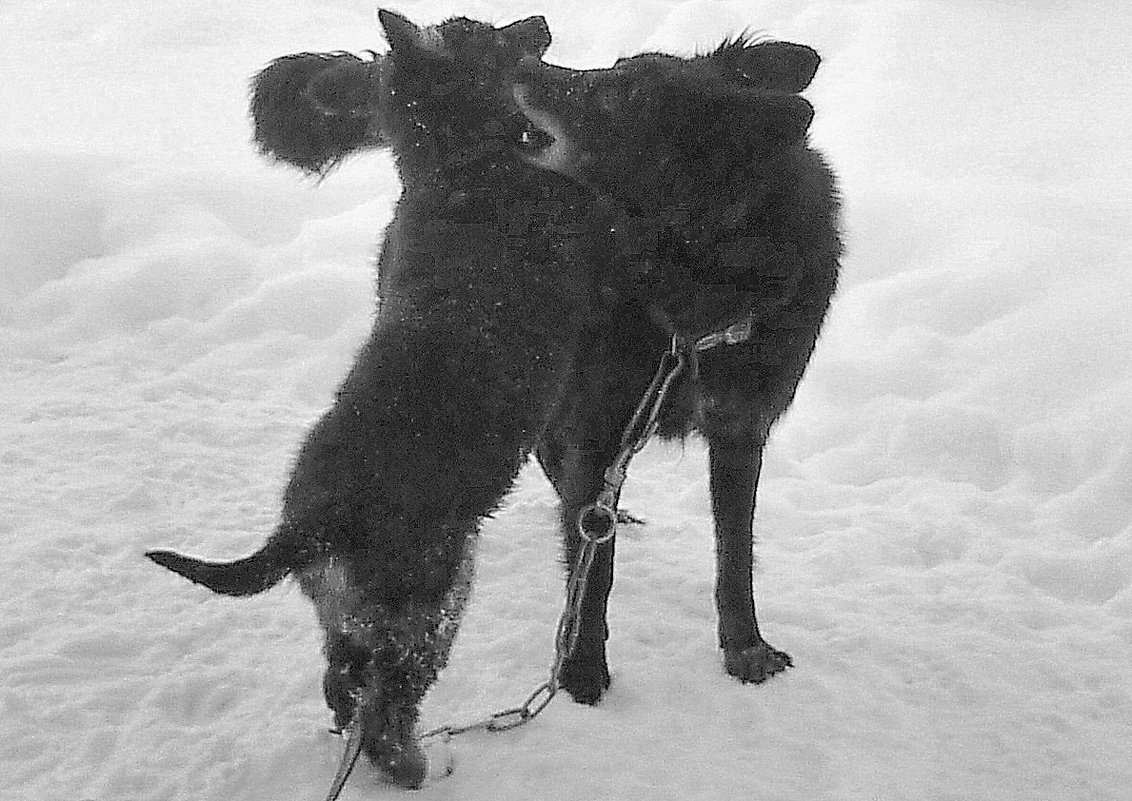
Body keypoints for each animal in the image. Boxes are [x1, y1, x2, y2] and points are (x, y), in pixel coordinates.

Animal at [144, 10, 620, 787]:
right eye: (491, 35)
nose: (544, 21)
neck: (459, 165)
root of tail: (309, 524)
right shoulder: (579, 224)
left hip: (349, 610)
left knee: (342, 683)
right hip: (428, 602)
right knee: (387, 705)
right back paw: (416, 763)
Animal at [513, 37, 842, 701]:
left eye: (617, 97)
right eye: (615, 69)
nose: (521, 63)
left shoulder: (740, 431)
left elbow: (735, 554)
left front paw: (745, 648)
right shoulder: (598, 424)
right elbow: (595, 573)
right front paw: (581, 669)